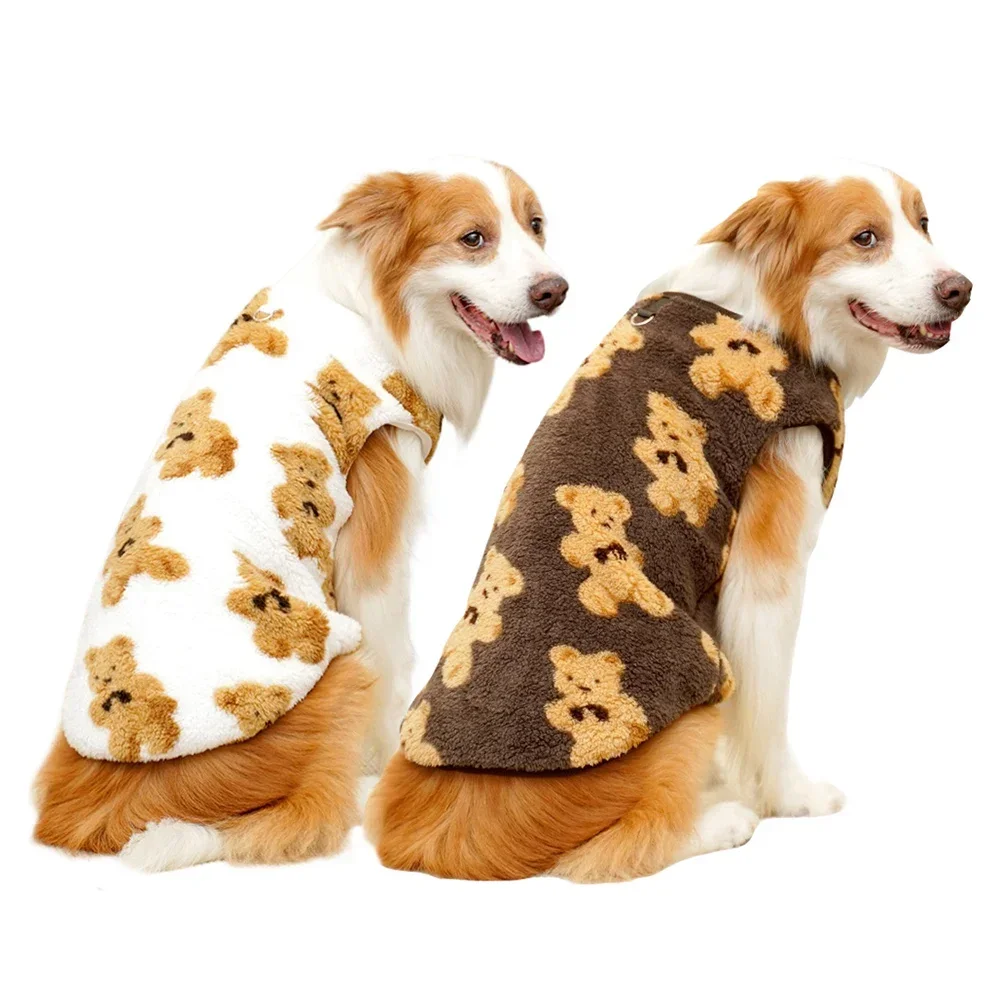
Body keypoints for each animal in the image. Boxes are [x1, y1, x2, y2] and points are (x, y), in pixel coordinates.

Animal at [555, 484, 673, 619]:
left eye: (611, 518)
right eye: (593, 511)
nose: (605, 523)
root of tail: (626, 596)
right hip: (598, 588)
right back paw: (607, 609)